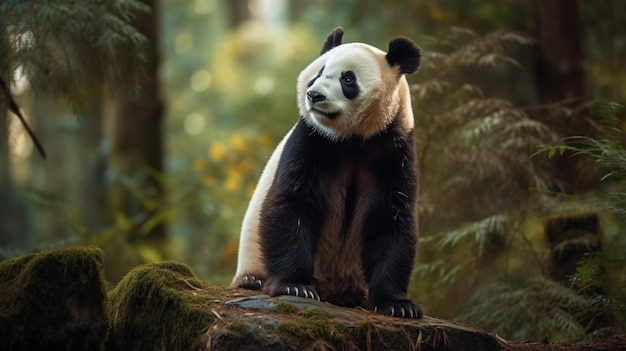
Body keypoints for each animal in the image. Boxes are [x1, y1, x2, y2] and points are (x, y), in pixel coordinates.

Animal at [232, 26, 422, 320]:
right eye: (318, 73)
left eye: (348, 79)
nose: (314, 95)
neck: (353, 140)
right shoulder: (312, 139)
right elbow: (292, 202)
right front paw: (295, 286)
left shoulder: (394, 149)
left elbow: (392, 217)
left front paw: (396, 304)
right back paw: (252, 281)